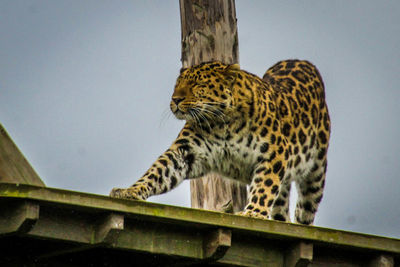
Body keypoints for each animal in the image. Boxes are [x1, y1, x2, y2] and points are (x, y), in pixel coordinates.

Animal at [110, 60, 332, 226]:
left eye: (197, 85)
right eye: (177, 85)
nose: (175, 99)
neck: (222, 122)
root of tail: (301, 61)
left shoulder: (275, 153)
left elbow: (264, 185)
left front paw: (252, 213)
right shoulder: (185, 151)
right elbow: (157, 172)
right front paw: (129, 191)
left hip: (316, 171)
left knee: (306, 209)